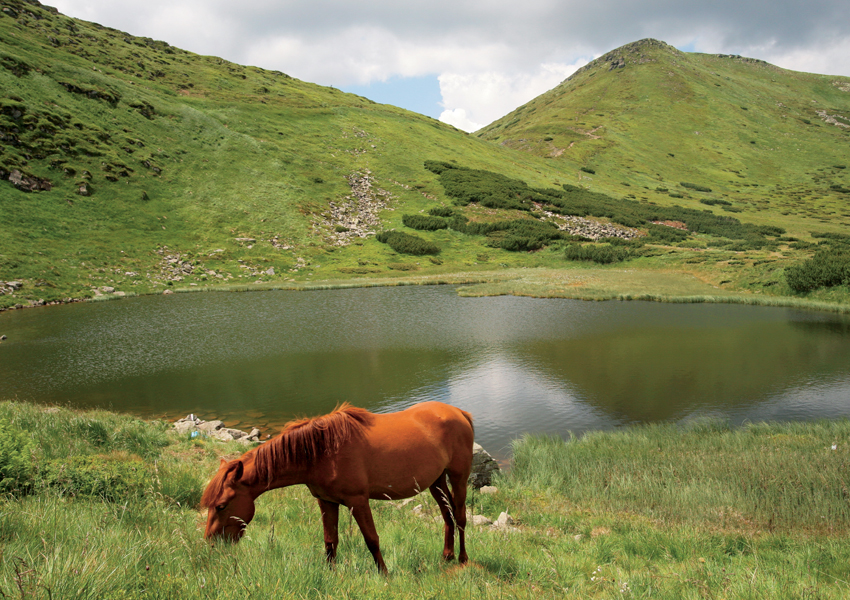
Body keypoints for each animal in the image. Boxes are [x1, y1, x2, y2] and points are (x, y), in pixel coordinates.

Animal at [202, 398, 474, 572]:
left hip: (458, 476)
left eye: (221, 505)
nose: (211, 545)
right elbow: (330, 540)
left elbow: (372, 539)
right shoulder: (326, 501)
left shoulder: (358, 501)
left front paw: (384, 574)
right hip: (436, 481)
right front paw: (330, 573)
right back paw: (446, 556)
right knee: (447, 515)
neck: (322, 452)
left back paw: (462, 559)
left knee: (460, 516)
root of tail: (460, 413)